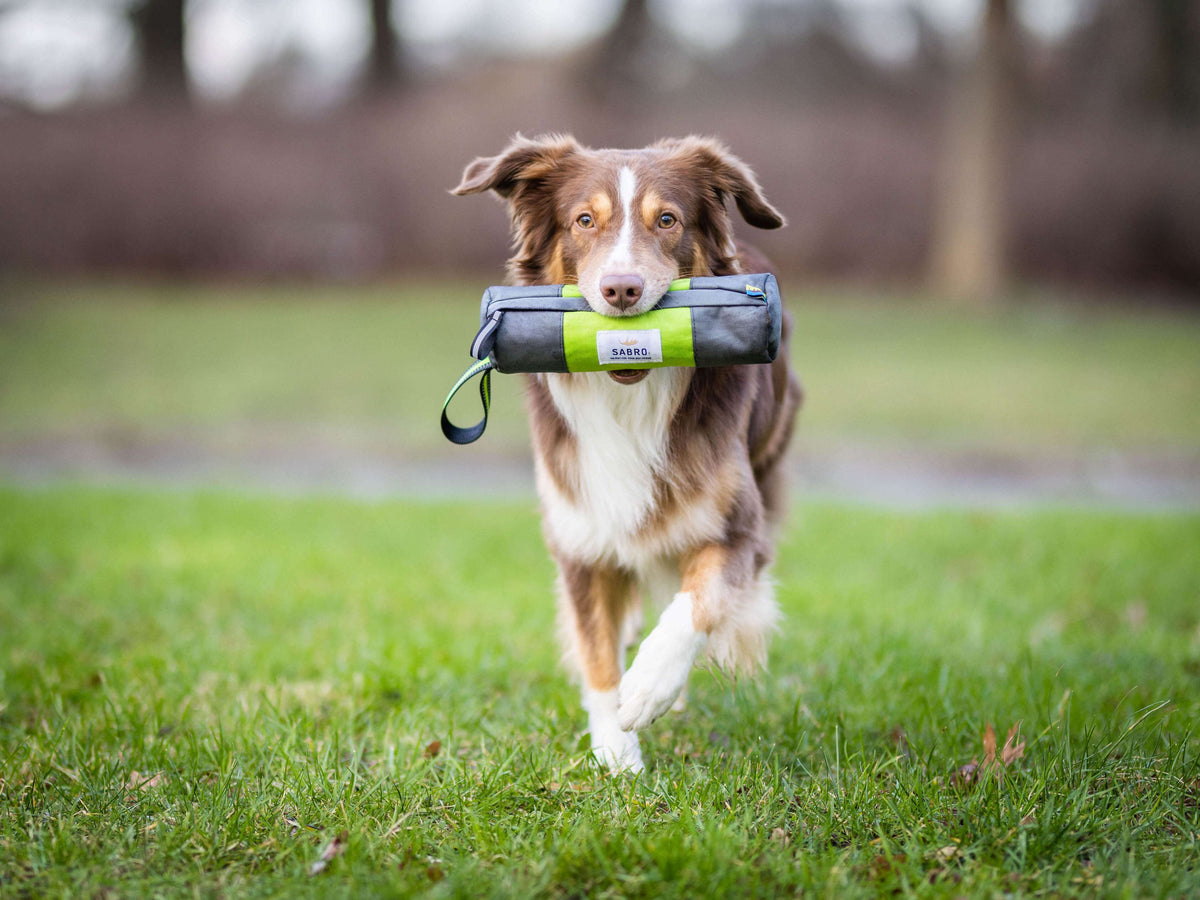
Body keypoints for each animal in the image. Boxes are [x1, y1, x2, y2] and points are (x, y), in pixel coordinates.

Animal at [453, 135, 801, 777]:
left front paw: (649, 687)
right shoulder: (580, 539)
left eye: (667, 220)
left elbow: (700, 599)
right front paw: (617, 753)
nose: (622, 290)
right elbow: (597, 655)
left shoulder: (740, 527)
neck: (630, 400)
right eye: (584, 221)